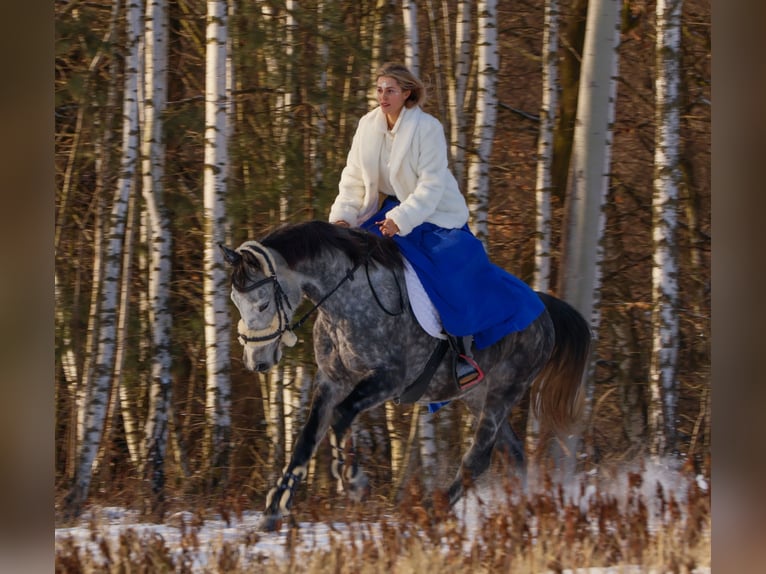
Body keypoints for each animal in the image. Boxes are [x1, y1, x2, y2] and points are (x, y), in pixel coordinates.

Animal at [220, 220, 591, 531]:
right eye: (236, 301)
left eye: (263, 304)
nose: (256, 362)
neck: (347, 304)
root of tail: (543, 310)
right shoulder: (332, 381)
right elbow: (306, 440)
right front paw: (274, 510)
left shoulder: (388, 379)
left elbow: (341, 418)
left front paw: (353, 480)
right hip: (477, 396)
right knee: (513, 454)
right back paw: (525, 511)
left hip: (505, 391)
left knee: (478, 458)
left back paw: (431, 510)